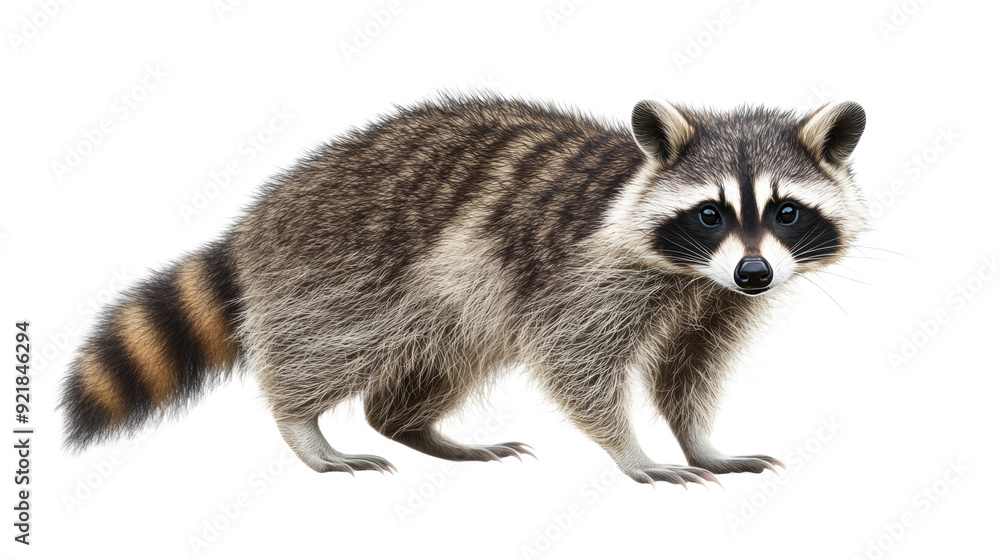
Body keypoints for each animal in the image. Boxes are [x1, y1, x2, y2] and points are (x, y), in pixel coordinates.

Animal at [61, 94, 866, 486]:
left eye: (786, 212)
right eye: (710, 213)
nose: (756, 275)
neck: (693, 273)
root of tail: (263, 211)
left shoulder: (712, 300)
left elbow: (688, 369)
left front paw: (700, 441)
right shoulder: (586, 275)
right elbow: (576, 359)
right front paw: (632, 451)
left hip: (448, 309)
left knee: (436, 367)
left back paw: (416, 427)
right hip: (343, 272)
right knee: (323, 349)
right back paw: (301, 423)